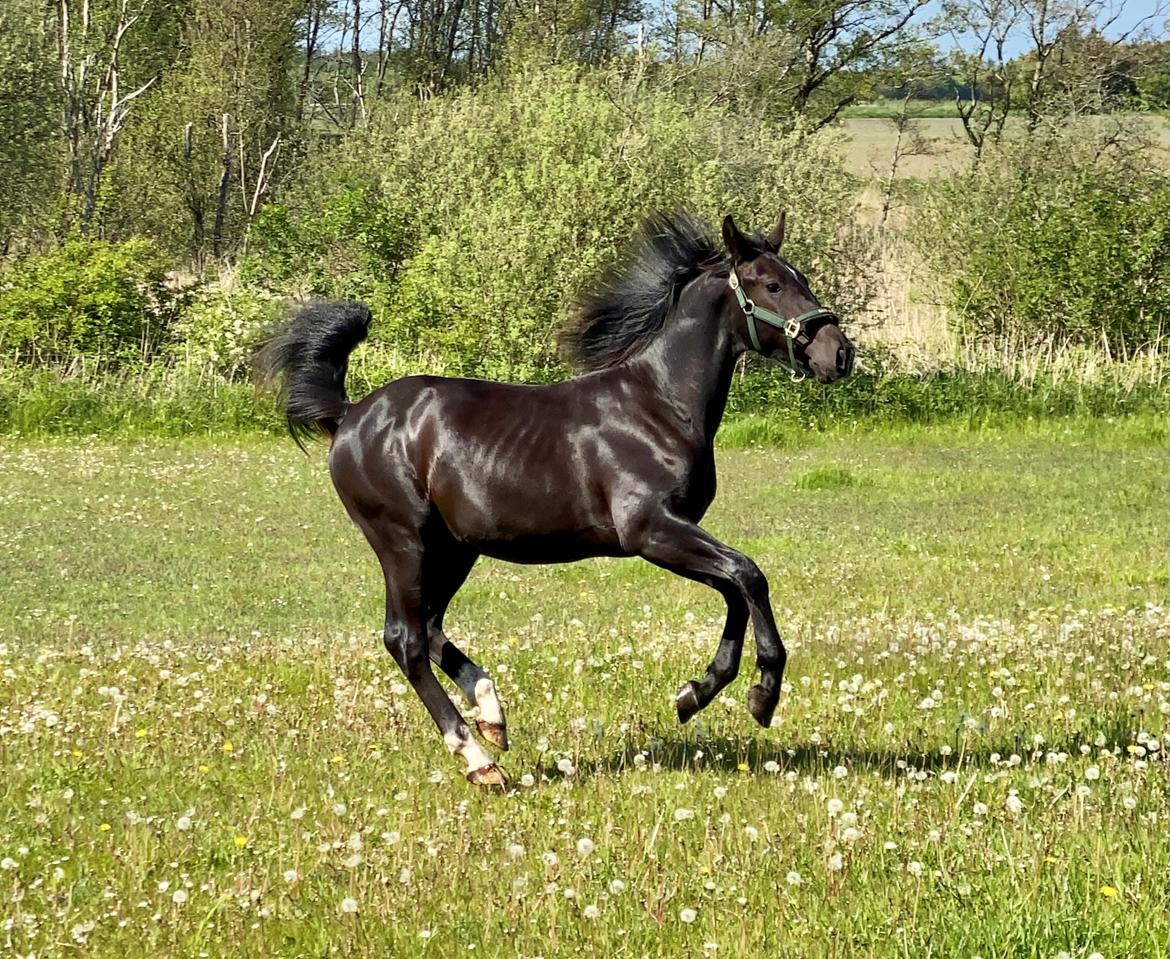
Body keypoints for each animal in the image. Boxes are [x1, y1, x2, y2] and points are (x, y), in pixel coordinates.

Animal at [258, 209, 861, 785]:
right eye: (771, 284)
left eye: (802, 279)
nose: (841, 355)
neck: (659, 406)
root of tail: (349, 416)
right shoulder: (651, 531)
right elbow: (749, 575)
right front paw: (764, 695)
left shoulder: (677, 532)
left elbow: (735, 589)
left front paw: (696, 694)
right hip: (403, 541)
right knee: (404, 639)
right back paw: (478, 759)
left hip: (454, 549)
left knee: (428, 629)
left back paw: (492, 713)